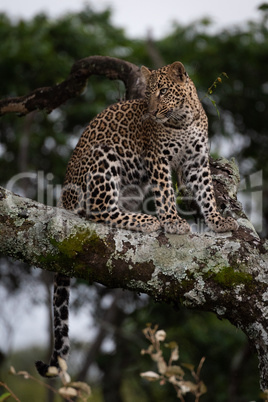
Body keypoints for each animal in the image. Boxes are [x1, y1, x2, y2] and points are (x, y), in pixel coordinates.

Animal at [35, 60, 237, 376]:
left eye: (163, 91)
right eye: (149, 93)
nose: (151, 112)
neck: (182, 120)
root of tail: (63, 200)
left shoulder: (196, 163)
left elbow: (206, 192)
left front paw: (217, 220)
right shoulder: (158, 159)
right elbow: (165, 191)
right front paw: (172, 220)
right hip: (105, 160)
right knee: (97, 209)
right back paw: (146, 221)